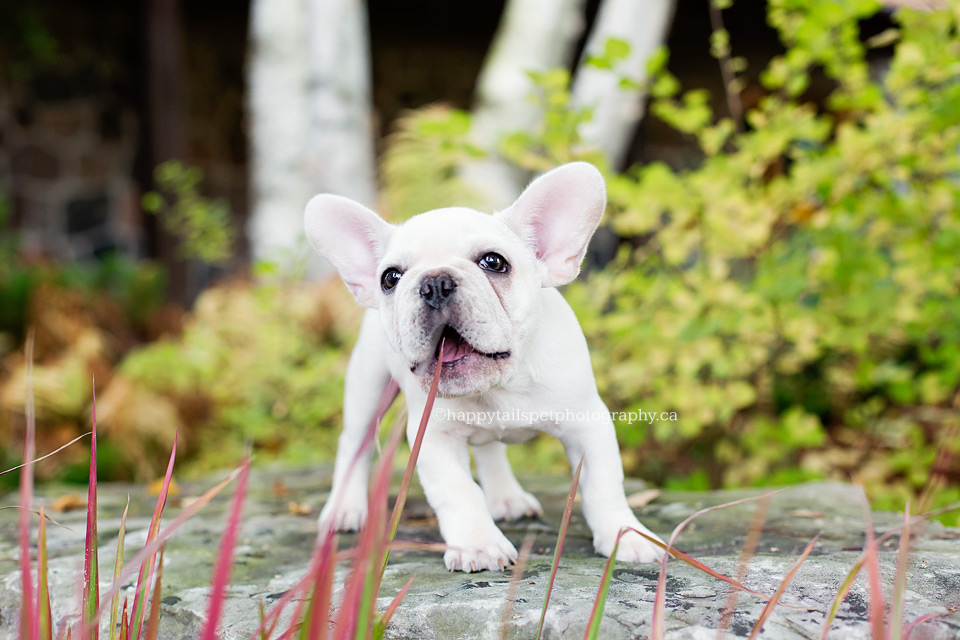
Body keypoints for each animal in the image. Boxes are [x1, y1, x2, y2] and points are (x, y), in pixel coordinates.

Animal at [304, 162, 664, 572]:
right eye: (389, 278)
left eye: (494, 262)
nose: (434, 282)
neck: (500, 388)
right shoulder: (433, 437)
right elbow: (459, 490)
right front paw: (478, 544)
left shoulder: (588, 423)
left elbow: (603, 484)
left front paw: (625, 536)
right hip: (369, 384)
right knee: (354, 443)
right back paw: (344, 508)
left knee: (491, 449)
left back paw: (507, 497)